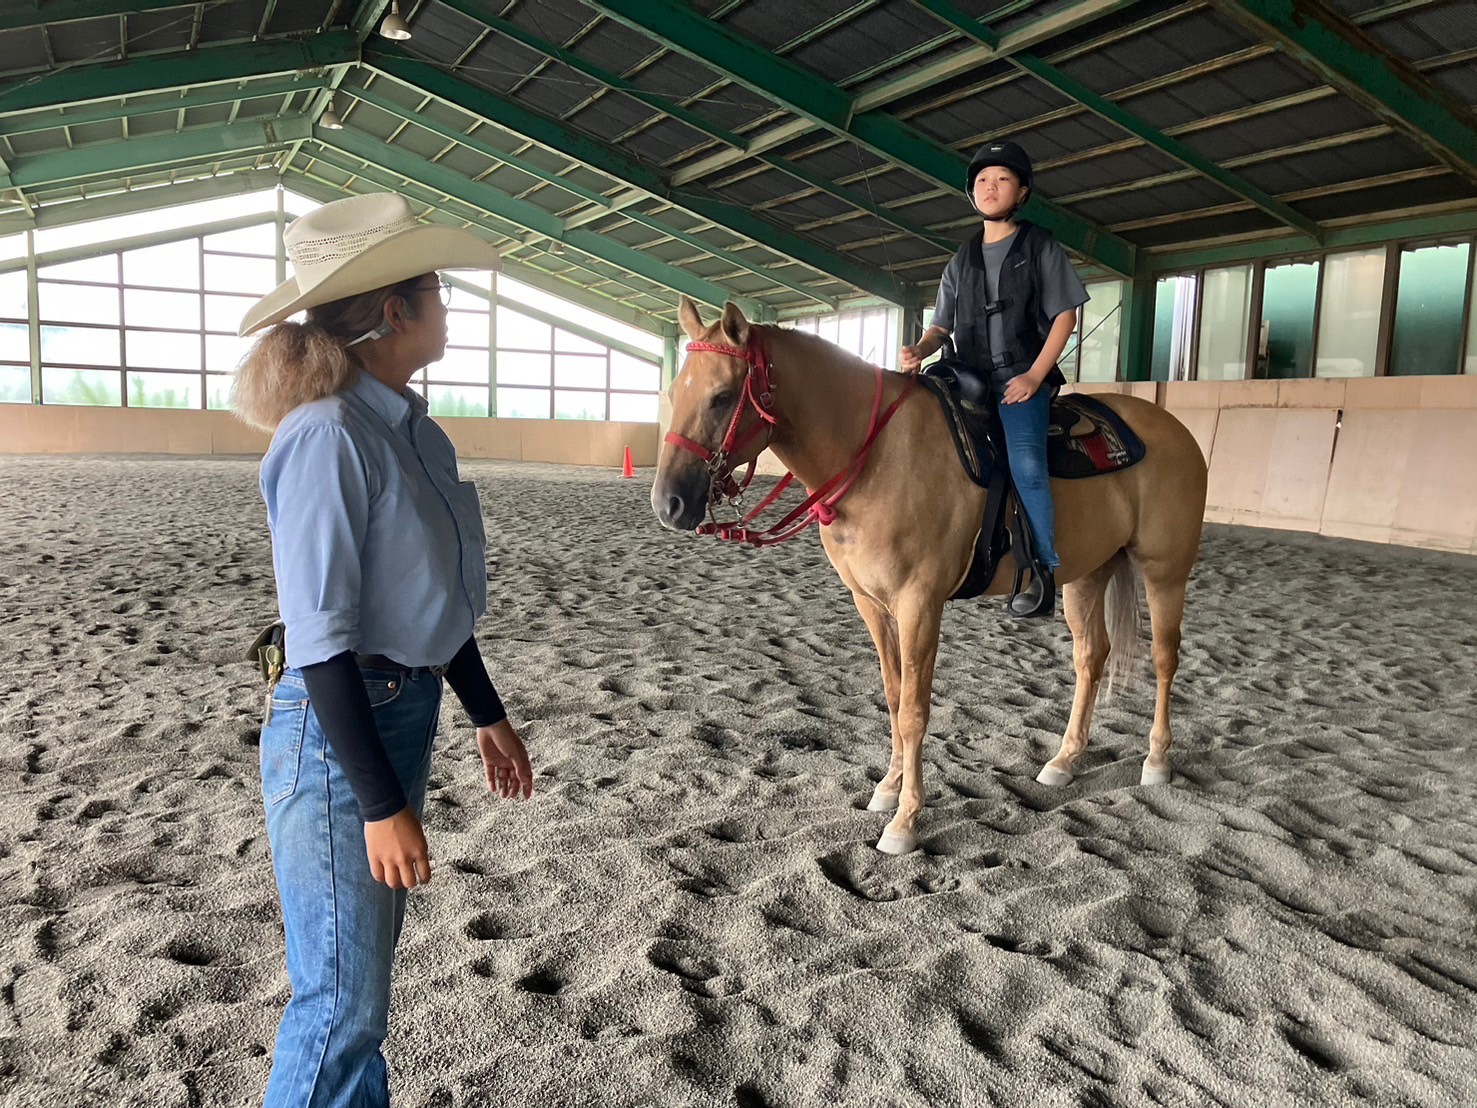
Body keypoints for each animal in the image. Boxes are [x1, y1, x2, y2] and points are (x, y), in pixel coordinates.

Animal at [652, 296, 1205, 856]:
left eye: (722, 397)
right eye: (674, 393)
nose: (668, 503)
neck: (874, 455)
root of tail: (1171, 428)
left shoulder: (919, 603)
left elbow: (915, 710)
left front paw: (905, 821)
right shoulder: (872, 604)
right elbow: (895, 698)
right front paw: (886, 789)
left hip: (1165, 570)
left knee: (1164, 657)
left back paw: (1156, 760)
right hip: (1088, 574)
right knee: (1091, 657)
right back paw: (1064, 760)